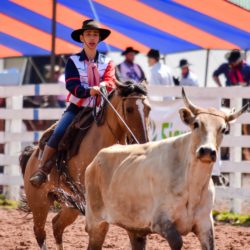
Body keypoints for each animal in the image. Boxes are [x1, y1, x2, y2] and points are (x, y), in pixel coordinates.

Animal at [19, 81, 150, 249]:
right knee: (40, 233)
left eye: (148, 108)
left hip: (70, 205)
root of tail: (32, 155)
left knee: (56, 225)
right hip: (39, 203)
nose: (143, 141)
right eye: (129, 109)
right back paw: (39, 176)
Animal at [84, 88, 248, 250]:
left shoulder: (205, 225)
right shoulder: (161, 221)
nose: (207, 151)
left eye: (224, 129)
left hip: (134, 228)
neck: (192, 185)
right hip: (96, 223)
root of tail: (95, 161)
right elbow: (177, 242)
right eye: (196, 124)